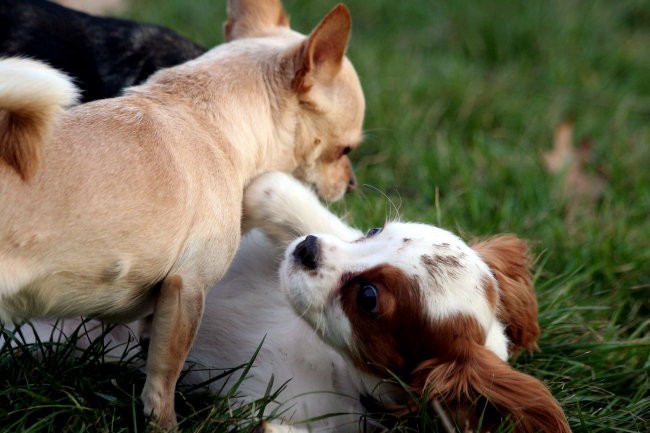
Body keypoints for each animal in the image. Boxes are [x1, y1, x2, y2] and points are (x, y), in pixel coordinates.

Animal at [0, 0, 364, 426]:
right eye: (345, 150)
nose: (352, 184)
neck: (201, 113)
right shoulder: (187, 289)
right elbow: (164, 379)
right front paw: (165, 424)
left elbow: (149, 351)